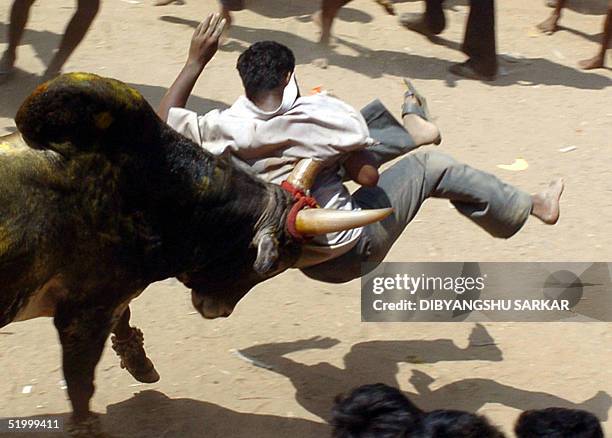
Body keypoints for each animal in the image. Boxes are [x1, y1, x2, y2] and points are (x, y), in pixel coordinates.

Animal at [0, 73, 390, 436]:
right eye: (272, 265)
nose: (219, 310)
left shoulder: (109, 297)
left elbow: (123, 319)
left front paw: (140, 362)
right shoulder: (83, 317)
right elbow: (81, 385)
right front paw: (88, 426)